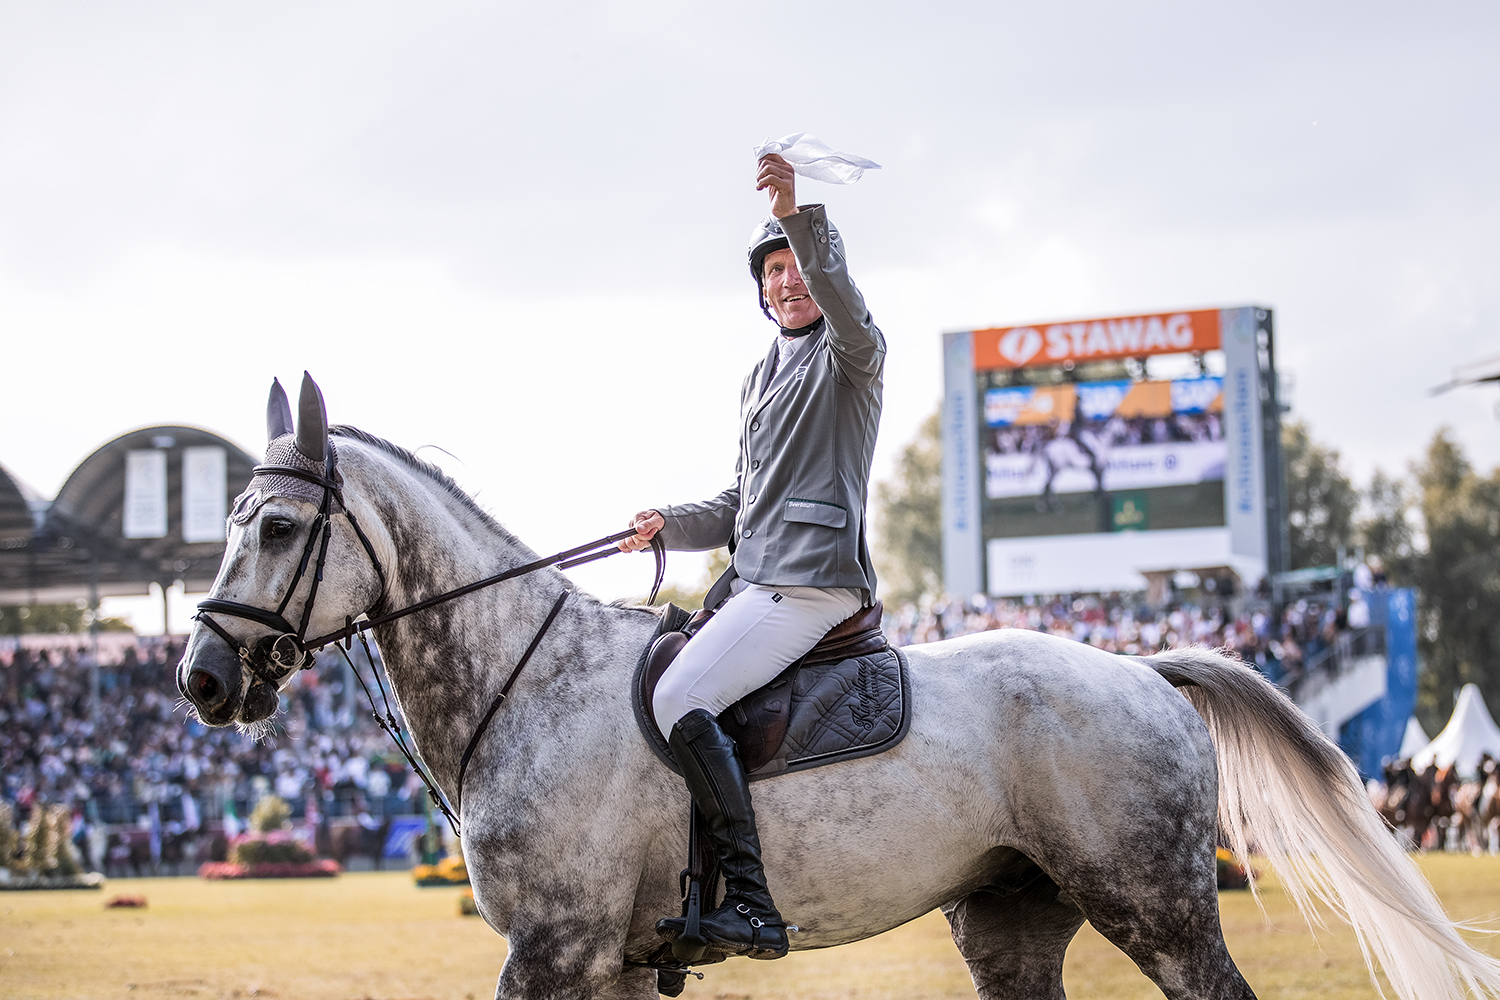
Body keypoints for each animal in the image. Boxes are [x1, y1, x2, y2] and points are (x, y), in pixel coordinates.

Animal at [178, 374, 1500, 1000]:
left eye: (280, 527)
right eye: (233, 518)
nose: (200, 678)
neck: (526, 680)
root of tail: (1141, 666)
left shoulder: (554, 951)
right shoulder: (609, 962)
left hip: (1157, 906)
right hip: (1010, 921)